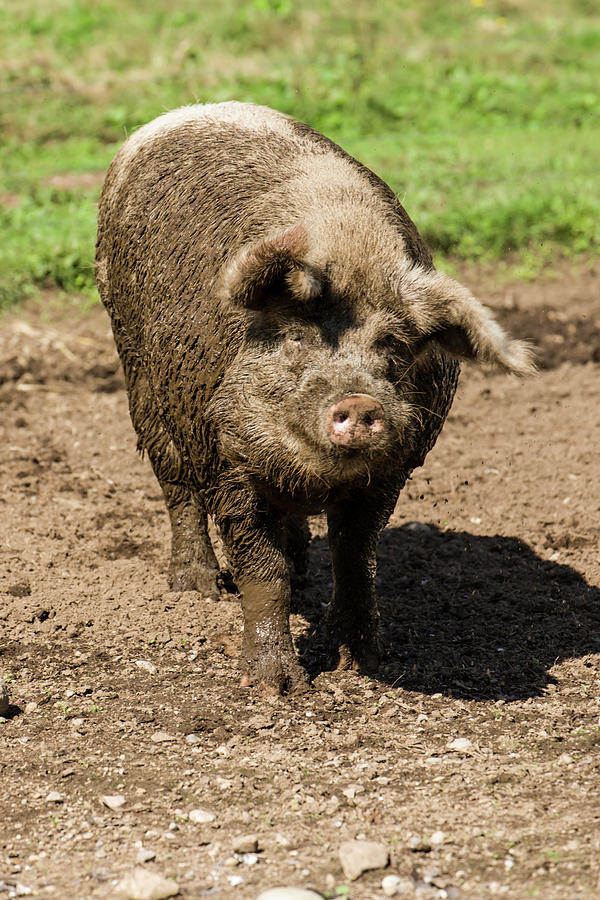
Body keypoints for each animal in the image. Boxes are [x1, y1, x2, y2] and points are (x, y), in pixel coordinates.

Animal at [95, 103, 536, 696]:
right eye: (298, 338)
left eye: (392, 346)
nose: (361, 402)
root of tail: (180, 114)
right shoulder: (229, 462)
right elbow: (264, 572)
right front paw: (276, 687)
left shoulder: (392, 469)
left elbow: (354, 555)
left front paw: (363, 662)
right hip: (142, 378)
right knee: (176, 486)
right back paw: (196, 587)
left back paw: (301, 566)